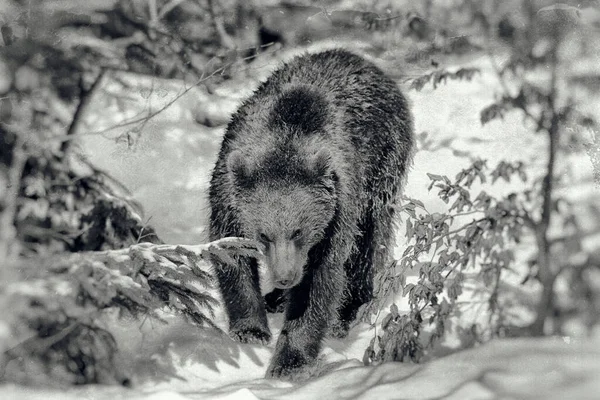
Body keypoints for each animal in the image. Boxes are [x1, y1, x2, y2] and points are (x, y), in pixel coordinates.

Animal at [207, 48, 412, 380]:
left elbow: (319, 280)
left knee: (369, 241)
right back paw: (275, 299)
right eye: (263, 234)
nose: (285, 277)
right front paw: (250, 330)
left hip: (382, 166)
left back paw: (347, 310)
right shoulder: (228, 195)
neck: (285, 142)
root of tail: (363, 60)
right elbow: (232, 257)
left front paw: (290, 362)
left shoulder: (336, 213)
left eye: (299, 231)